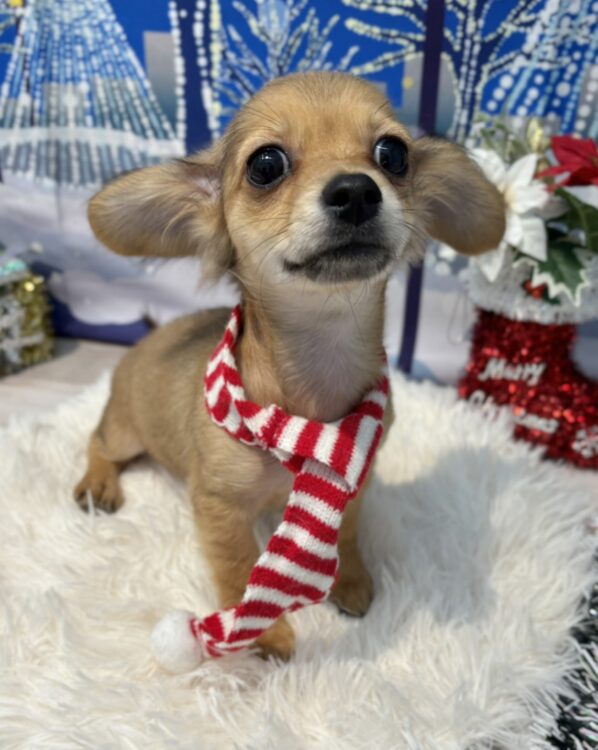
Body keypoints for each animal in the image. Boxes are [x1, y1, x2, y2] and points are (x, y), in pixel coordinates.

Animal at [75, 72, 505, 661]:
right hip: (125, 431)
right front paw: (267, 634)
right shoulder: (218, 505)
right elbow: (237, 569)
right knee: (97, 441)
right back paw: (98, 484)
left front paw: (351, 581)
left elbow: (346, 532)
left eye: (393, 154)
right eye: (266, 165)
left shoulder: (355, 478)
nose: (356, 190)